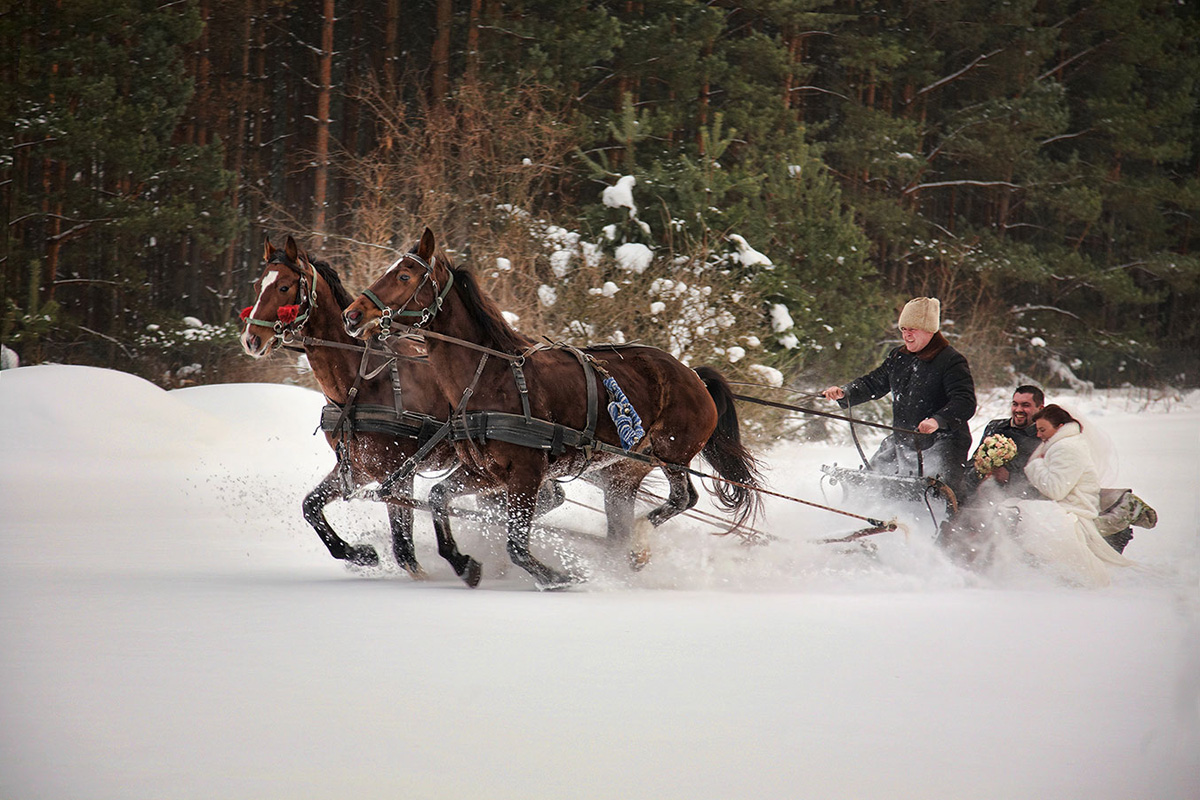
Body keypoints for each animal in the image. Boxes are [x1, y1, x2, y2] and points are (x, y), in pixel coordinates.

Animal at [238, 235, 482, 585]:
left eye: (284, 287)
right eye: (259, 285)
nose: (251, 339)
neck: (364, 381)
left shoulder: (397, 474)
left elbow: (404, 549)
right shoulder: (358, 468)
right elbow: (310, 507)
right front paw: (361, 553)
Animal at [345, 227, 758, 592]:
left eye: (404, 275)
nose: (353, 314)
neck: (491, 376)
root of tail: (692, 374)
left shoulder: (527, 473)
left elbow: (516, 544)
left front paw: (557, 576)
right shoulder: (484, 472)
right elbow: (437, 497)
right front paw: (464, 563)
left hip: (672, 453)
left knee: (683, 498)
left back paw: (638, 547)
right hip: (623, 471)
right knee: (623, 521)